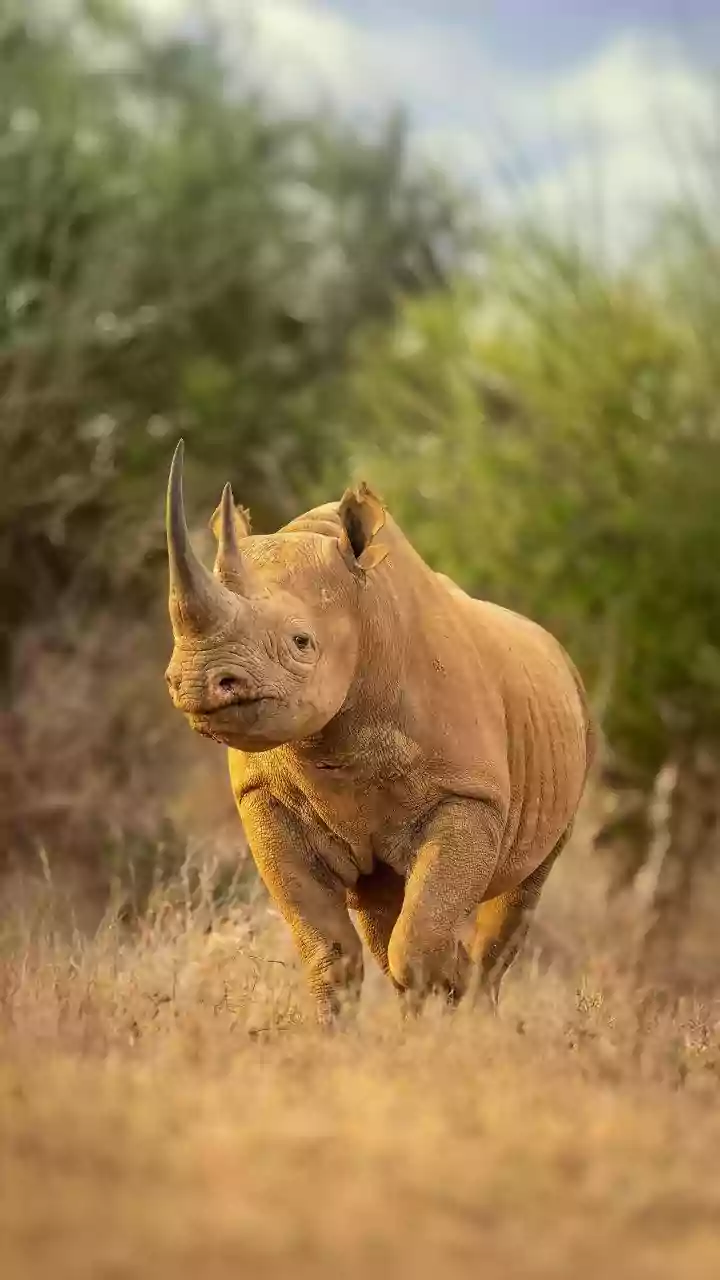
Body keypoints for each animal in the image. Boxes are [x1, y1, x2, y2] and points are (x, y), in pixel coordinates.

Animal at [164, 440, 595, 1025]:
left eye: (302, 642)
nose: (197, 681)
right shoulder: (265, 796)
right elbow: (329, 951)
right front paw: (340, 1037)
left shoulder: (469, 795)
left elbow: (417, 940)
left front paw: (434, 1029)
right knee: (382, 912)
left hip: (574, 727)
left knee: (514, 900)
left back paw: (476, 1014)